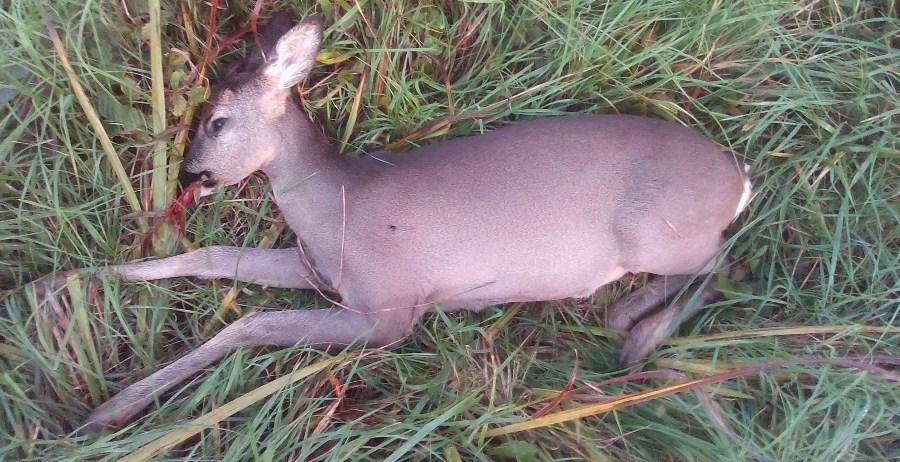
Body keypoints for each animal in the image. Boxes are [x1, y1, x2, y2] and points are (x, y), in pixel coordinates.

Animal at [33, 13, 752, 432]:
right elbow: (208, 257)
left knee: (722, 264)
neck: (337, 208)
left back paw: (637, 333)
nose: (188, 175)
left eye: (217, 121)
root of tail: (737, 175)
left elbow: (251, 323)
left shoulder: (388, 308)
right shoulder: (317, 268)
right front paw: (58, 282)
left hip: (661, 231)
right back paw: (626, 317)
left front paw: (110, 410)